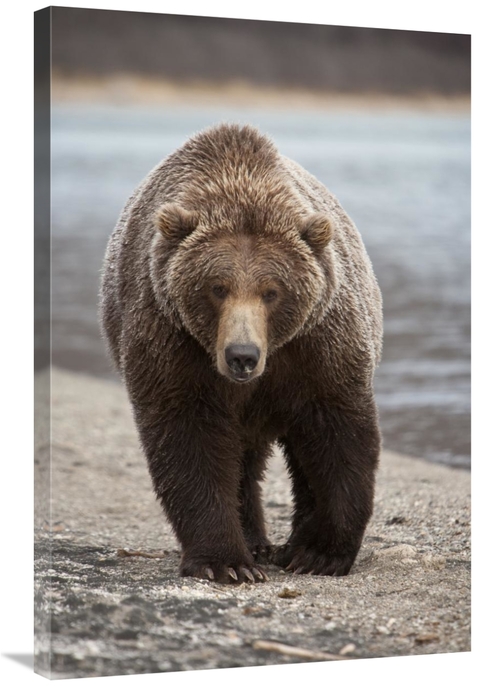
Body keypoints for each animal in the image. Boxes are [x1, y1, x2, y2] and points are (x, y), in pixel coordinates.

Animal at [99, 123, 383, 584]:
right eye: (217, 287)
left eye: (272, 291)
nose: (242, 355)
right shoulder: (173, 342)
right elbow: (188, 438)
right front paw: (226, 562)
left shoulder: (317, 345)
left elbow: (337, 435)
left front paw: (319, 553)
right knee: (242, 462)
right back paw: (254, 543)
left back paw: (284, 545)